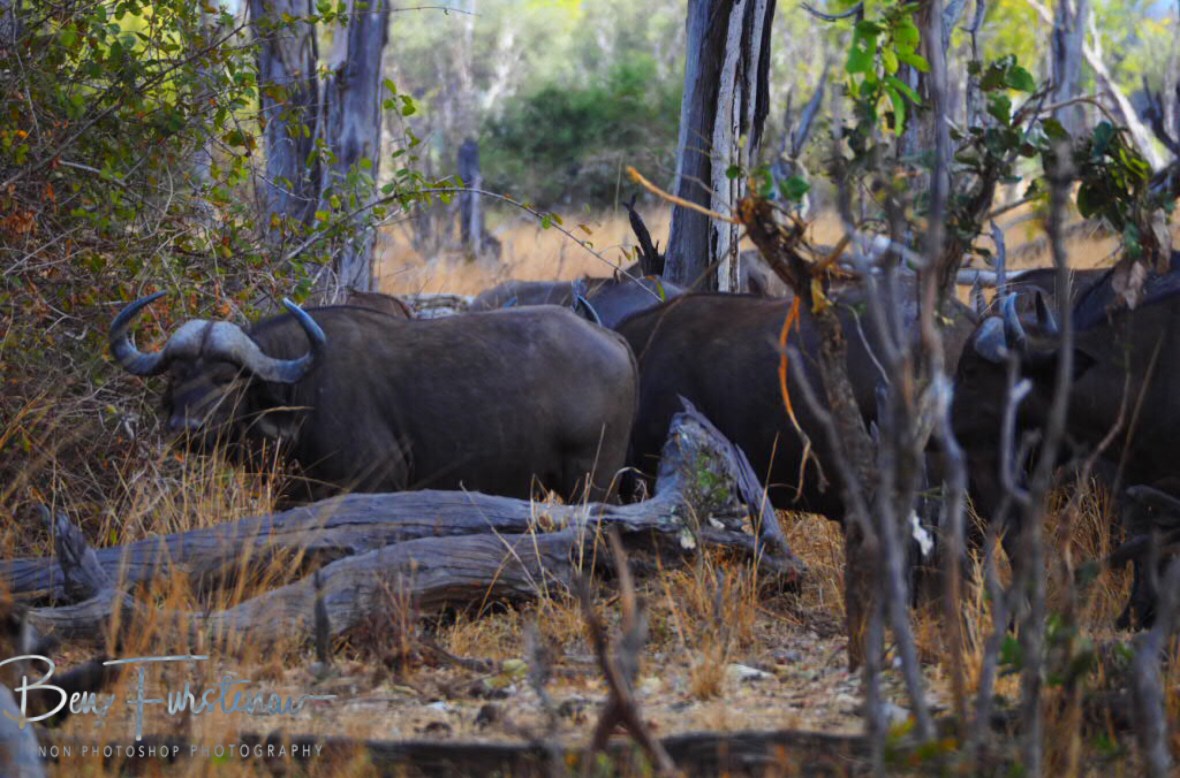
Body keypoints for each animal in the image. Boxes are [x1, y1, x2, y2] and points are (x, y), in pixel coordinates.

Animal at [110, 294, 637, 503]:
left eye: (226, 378)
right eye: (177, 375)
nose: (186, 429)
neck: (302, 392)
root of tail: (610, 338)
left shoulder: (375, 482)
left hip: (591, 478)